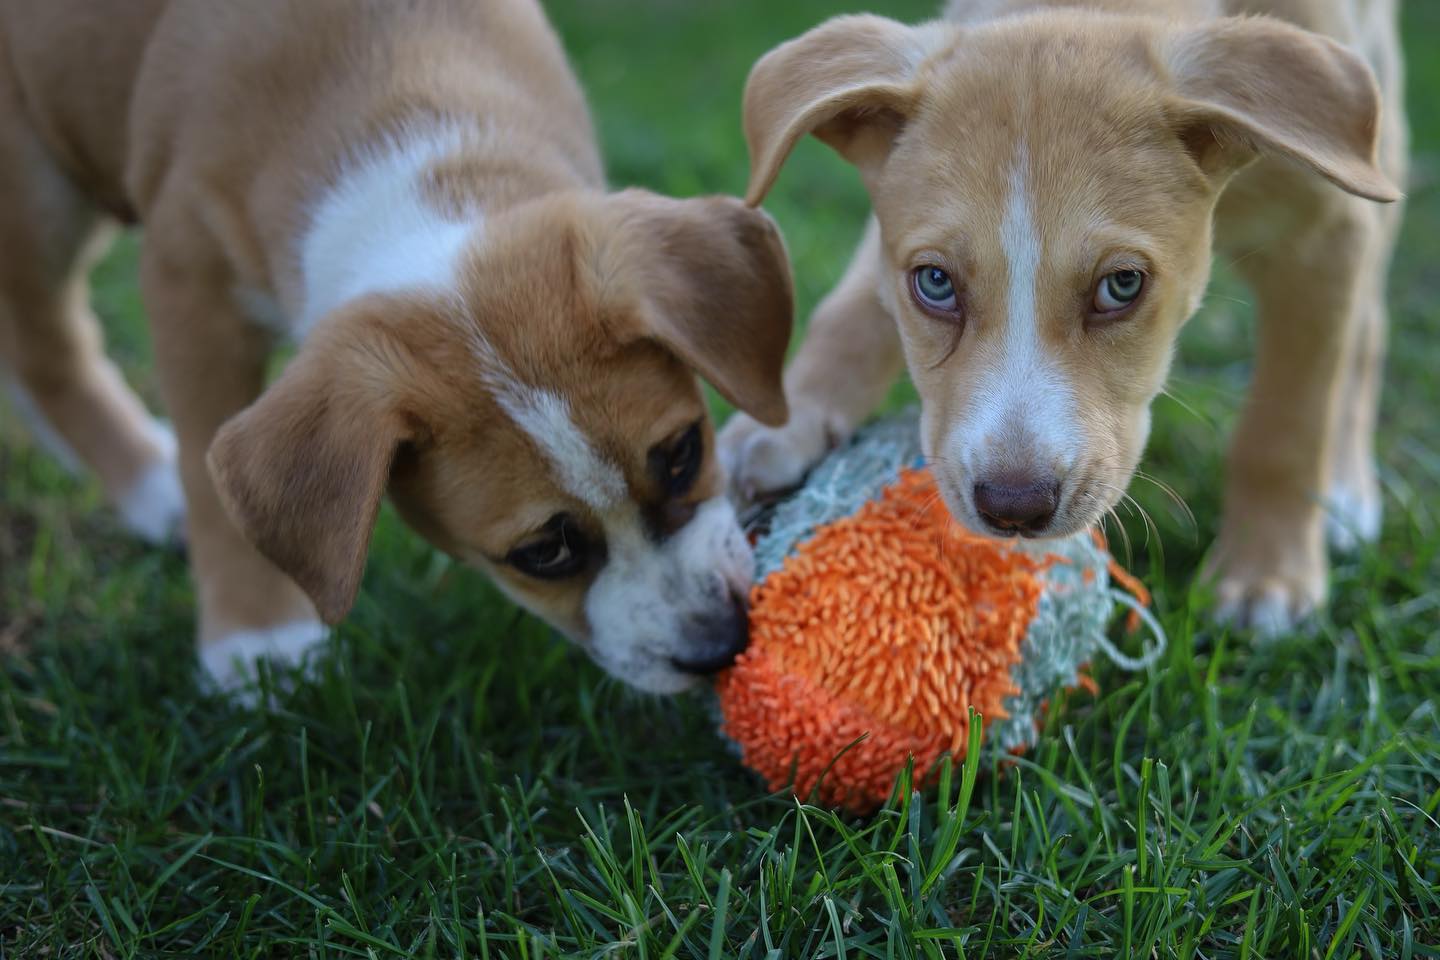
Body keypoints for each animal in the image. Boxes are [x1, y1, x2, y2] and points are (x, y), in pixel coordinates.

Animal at [0, 0, 800, 690]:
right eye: (543, 553)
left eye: (684, 452)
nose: (720, 648)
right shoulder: (187, 281)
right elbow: (209, 472)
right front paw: (258, 642)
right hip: (34, 185)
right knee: (46, 346)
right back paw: (152, 483)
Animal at [725, 0, 1399, 633]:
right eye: (935, 282)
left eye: (1122, 284)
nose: (1013, 509)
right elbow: (848, 310)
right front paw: (783, 422)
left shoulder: (1324, 230)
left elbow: (1287, 423)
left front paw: (1267, 575)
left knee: (1366, 330)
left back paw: (1344, 489)